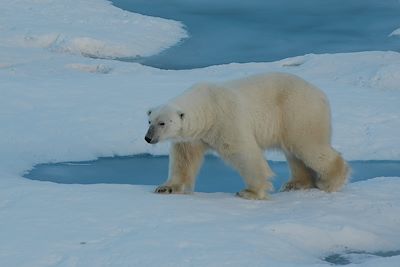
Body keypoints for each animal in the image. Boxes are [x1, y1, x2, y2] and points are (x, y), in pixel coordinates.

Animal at [145, 72, 346, 200]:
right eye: (149, 121)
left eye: (162, 123)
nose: (148, 138)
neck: (207, 107)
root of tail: (321, 94)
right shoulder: (193, 136)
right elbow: (184, 159)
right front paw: (166, 187)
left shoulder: (225, 120)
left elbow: (243, 152)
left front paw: (250, 192)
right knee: (294, 153)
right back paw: (296, 183)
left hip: (298, 112)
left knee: (308, 145)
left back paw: (330, 181)